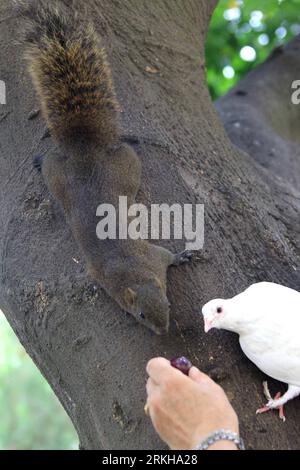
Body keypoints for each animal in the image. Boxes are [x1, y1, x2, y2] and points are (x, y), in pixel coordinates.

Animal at [19, 1, 192, 336]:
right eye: (140, 315)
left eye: (167, 304)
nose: (162, 331)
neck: (134, 272)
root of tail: (84, 148)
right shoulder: (106, 273)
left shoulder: (152, 256)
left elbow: (167, 256)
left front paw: (182, 256)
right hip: (79, 173)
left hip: (121, 167)